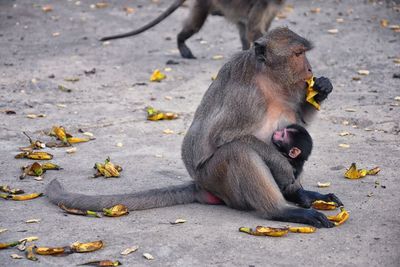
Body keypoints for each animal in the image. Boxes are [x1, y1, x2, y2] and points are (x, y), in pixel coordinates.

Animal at [46, 27, 340, 228]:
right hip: (217, 179)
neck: (269, 80)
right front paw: (283, 169)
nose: (310, 69)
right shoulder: (246, 98)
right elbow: (225, 139)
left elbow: (299, 123)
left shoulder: (293, 91)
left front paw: (323, 87)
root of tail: (201, 185)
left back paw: (300, 195)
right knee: (238, 153)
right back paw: (282, 209)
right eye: (298, 54)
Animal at [101, 0, 286, 59]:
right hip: (204, 3)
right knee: (195, 24)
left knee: (242, 28)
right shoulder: (262, 4)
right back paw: (181, 42)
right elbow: (255, 31)